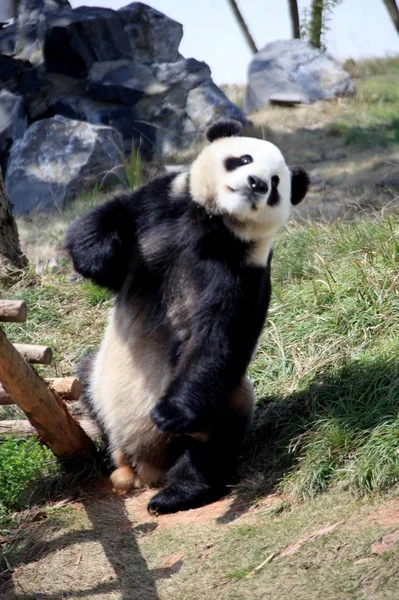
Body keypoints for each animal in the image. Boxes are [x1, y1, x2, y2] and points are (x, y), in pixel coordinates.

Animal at [65, 119, 310, 512]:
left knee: (212, 433)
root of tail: (144, 467)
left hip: (222, 401)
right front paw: (97, 255)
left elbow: (217, 339)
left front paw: (170, 412)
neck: (212, 224)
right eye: (243, 158)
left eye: (275, 184)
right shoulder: (162, 205)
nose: (256, 183)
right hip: (97, 380)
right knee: (85, 374)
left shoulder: (243, 268)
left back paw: (179, 492)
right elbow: (106, 220)